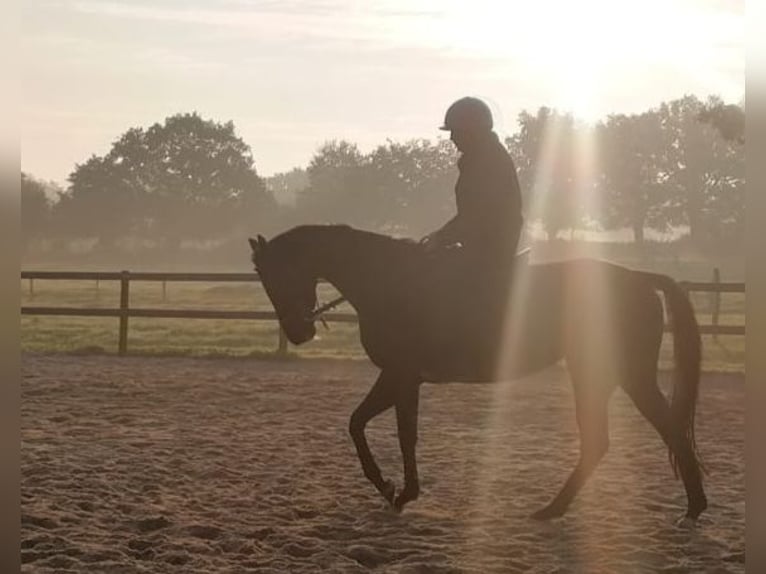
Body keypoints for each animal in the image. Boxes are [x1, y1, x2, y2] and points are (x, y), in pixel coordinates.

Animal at [248, 224, 707, 523]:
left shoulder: (401, 374)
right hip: (610, 375)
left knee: (642, 432)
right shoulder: (401, 378)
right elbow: (361, 423)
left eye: (275, 274)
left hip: (616, 375)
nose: (299, 332)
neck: (391, 282)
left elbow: (395, 432)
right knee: (635, 434)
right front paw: (392, 488)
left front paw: (398, 491)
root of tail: (637, 278)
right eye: (262, 277)